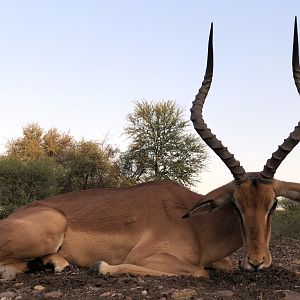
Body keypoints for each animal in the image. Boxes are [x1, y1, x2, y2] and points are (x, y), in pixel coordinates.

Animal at [0, 20, 298, 282]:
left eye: (273, 204)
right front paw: (100, 266)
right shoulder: (148, 256)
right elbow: (197, 271)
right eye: (236, 205)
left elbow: (221, 264)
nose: (256, 261)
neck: (197, 227)